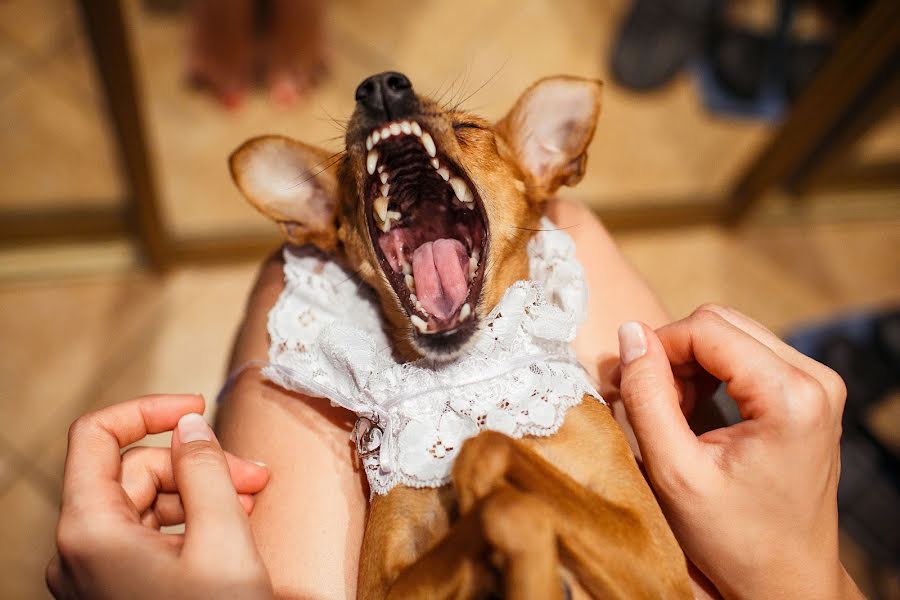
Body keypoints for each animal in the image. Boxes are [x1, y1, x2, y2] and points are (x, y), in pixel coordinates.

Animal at [229, 74, 692, 600]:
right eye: (346, 167)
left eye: (469, 128)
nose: (380, 86)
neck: (470, 380)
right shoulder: (383, 586)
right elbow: (501, 498)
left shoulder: (658, 560)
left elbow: (487, 452)